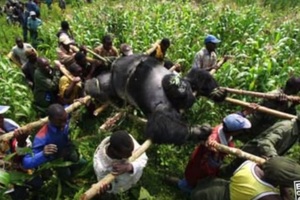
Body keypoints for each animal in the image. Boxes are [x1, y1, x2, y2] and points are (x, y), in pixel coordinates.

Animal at [84, 54, 225, 145]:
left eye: (180, 85)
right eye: (177, 86)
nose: (179, 87)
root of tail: (115, 64)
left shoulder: (186, 83)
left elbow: (197, 75)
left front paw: (216, 92)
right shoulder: (164, 105)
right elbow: (160, 126)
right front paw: (197, 131)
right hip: (117, 79)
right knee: (103, 86)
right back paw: (93, 85)